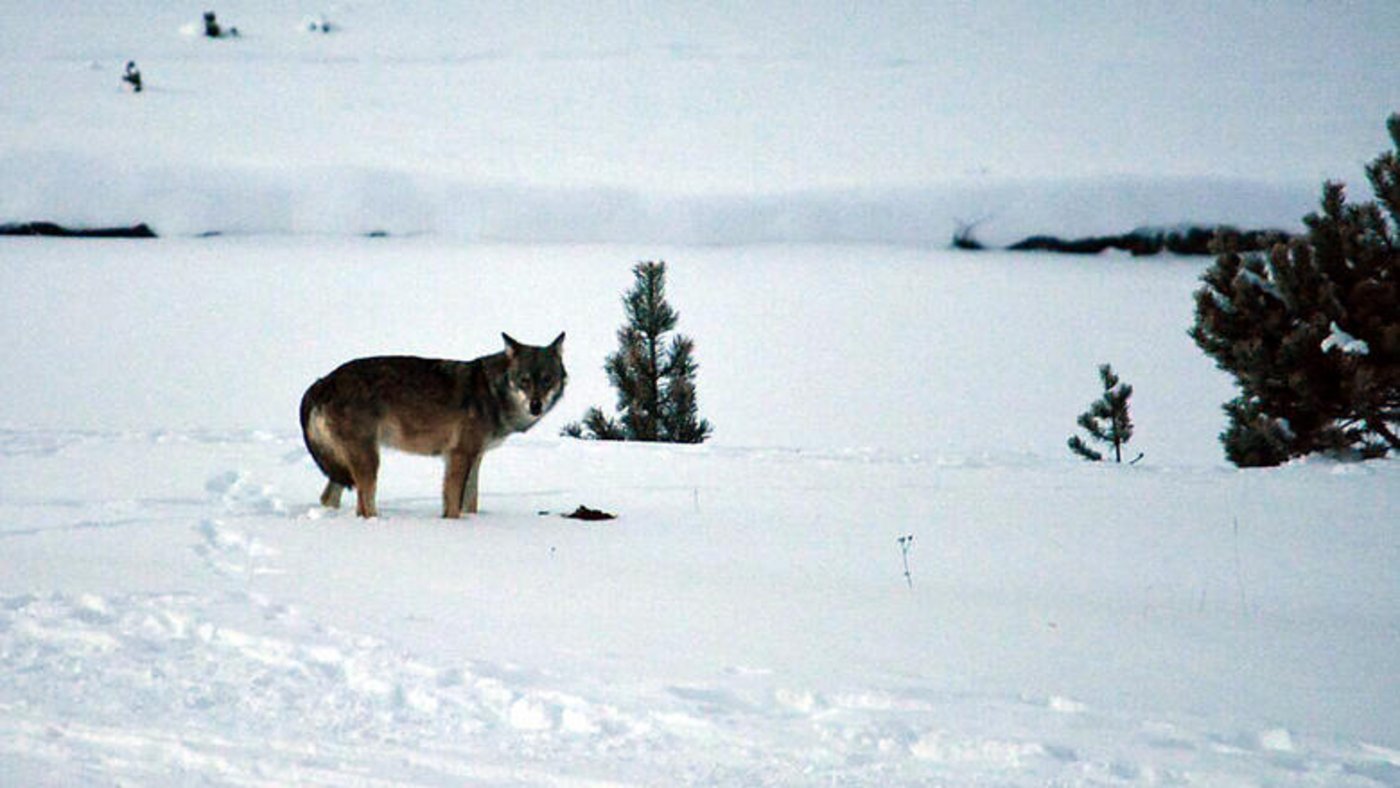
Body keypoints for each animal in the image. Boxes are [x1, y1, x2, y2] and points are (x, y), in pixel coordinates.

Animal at [300, 333, 566, 518]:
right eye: (524, 380)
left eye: (547, 380)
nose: (536, 405)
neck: (493, 393)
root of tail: (321, 382)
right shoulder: (459, 455)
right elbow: (453, 505)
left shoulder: (475, 456)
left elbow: (471, 502)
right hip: (369, 462)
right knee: (364, 506)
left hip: (346, 466)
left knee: (329, 498)